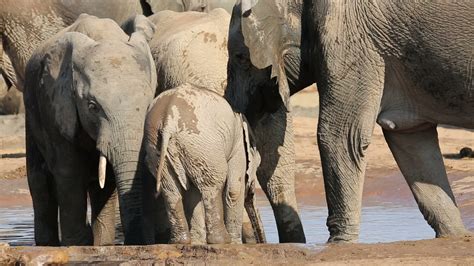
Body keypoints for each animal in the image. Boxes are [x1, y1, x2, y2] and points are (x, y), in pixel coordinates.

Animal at [23, 14, 157, 246]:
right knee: (40, 182)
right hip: (31, 110)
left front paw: (101, 246)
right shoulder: (54, 107)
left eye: (148, 104)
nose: (134, 241)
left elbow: (107, 179)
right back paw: (48, 244)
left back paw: (102, 243)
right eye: (93, 106)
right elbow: (69, 172)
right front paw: (77, 245)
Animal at [143, 83, 264, 243]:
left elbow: (192, 194)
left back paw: (182, 241)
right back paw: (222, 241)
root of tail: (168, 120)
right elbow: (234, 190)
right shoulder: (238, 146)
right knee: (212, 185)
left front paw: (197, 242)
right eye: (258, 163)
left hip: (158, 147)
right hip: (202, 145)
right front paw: (235, 243)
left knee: (171, 190)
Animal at [231, 0, 474, 243]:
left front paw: (337, 244)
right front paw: (455, 237)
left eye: (240, 57)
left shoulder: (349, 37)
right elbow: (412, 143)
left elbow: (339, 136)